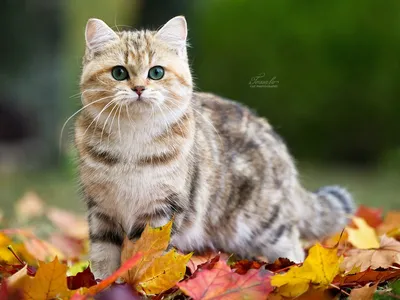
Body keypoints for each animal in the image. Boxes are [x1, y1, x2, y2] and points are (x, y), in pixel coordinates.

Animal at [76, 15, 356, 278]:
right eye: (119, 73)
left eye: (156, 72)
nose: (138, 88)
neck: (132, 143)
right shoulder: (101, 209)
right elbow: (103, 255)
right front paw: (102, 284)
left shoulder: (162, 211)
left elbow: (147, 255)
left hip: (264, 224)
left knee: (293, 245)